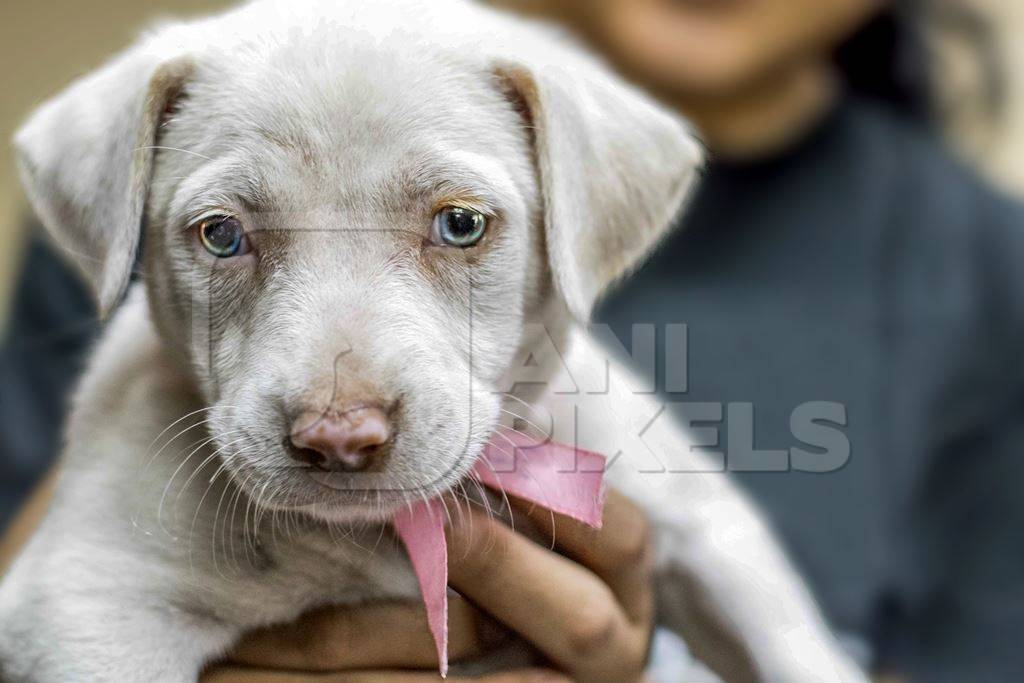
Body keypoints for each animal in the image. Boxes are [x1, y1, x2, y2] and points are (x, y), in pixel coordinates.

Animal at [0, 1, 864, 683]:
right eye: (221, 235)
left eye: (461, 224)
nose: (339, 437)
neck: (386, 535)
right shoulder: (86, 606)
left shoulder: (699, 521)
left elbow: (789, 641)